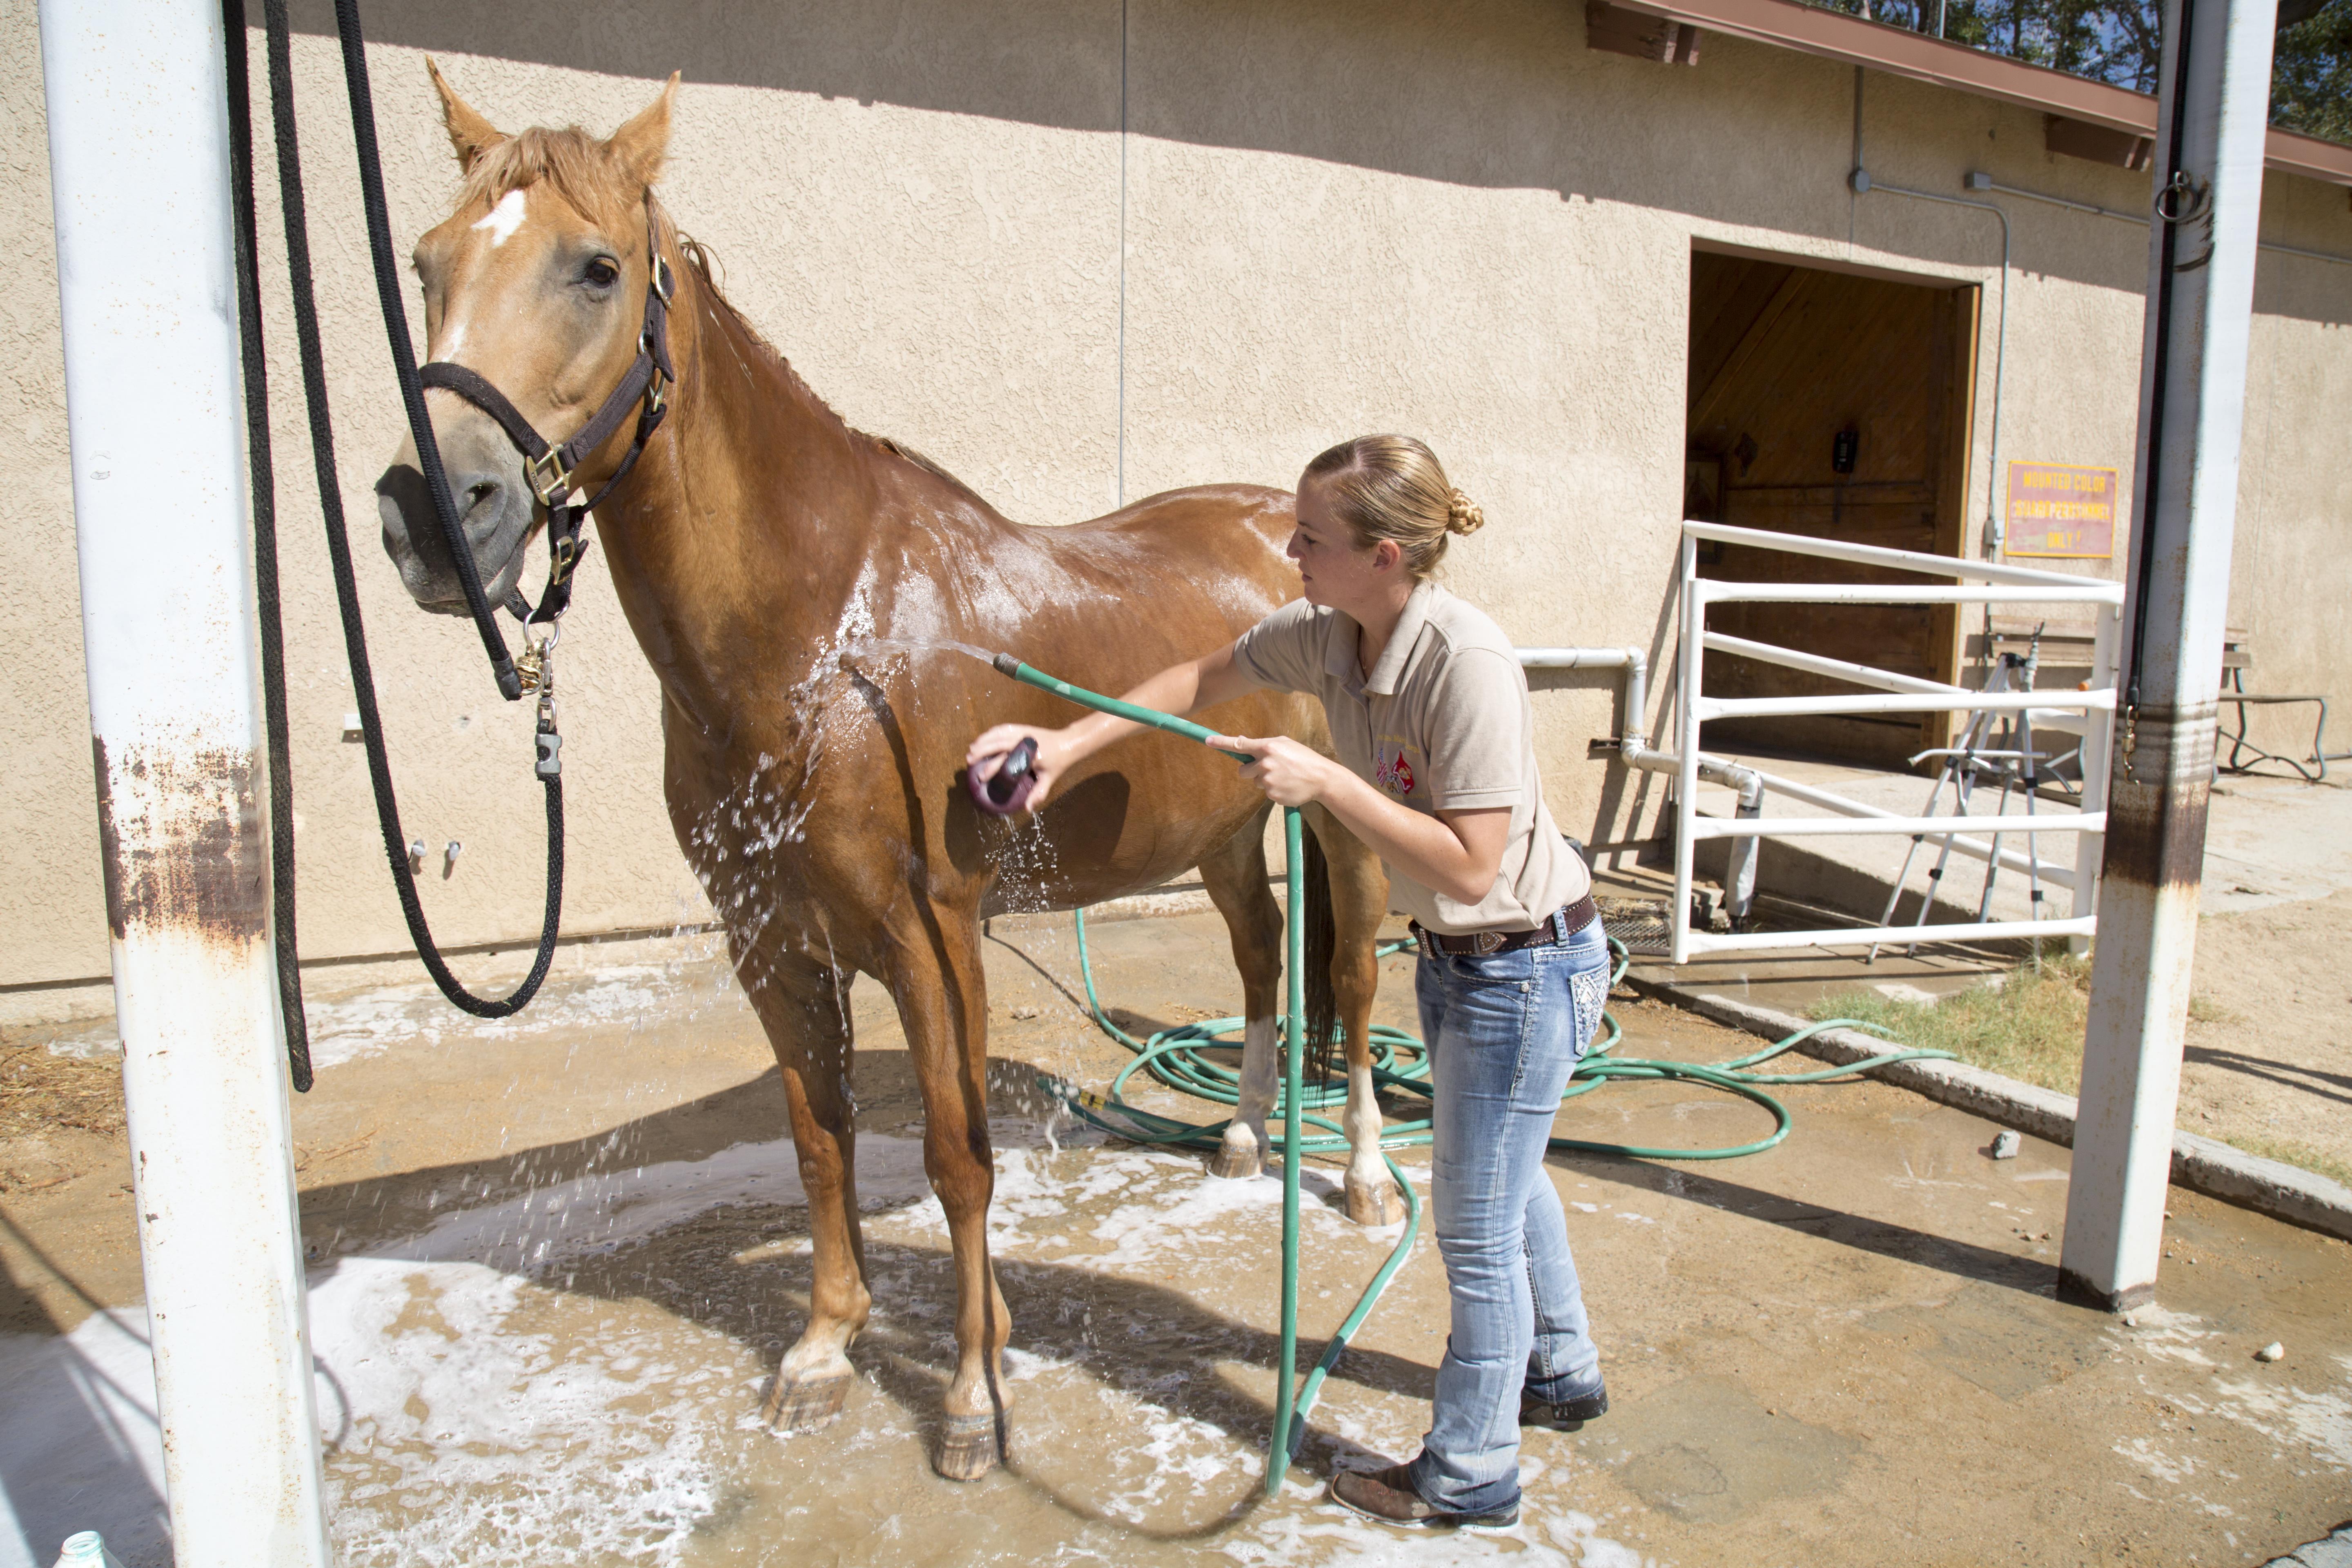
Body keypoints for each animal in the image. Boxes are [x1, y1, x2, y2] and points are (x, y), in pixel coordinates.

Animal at [364, 64, 1392, 1486]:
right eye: (425, 262)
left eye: (596, 268)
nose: (429, 514)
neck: (826, 638)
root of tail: (1280, 524)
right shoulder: (770, 938)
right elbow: (820, 1140)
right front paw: (821, 1350)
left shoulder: (931, 931)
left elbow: (958, 1153)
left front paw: (971, 1397)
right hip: (1228, 825)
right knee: (1257, 955)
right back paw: (1240, 1139)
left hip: (1345, 827)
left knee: (1346, 980)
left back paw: (1364, 1180)